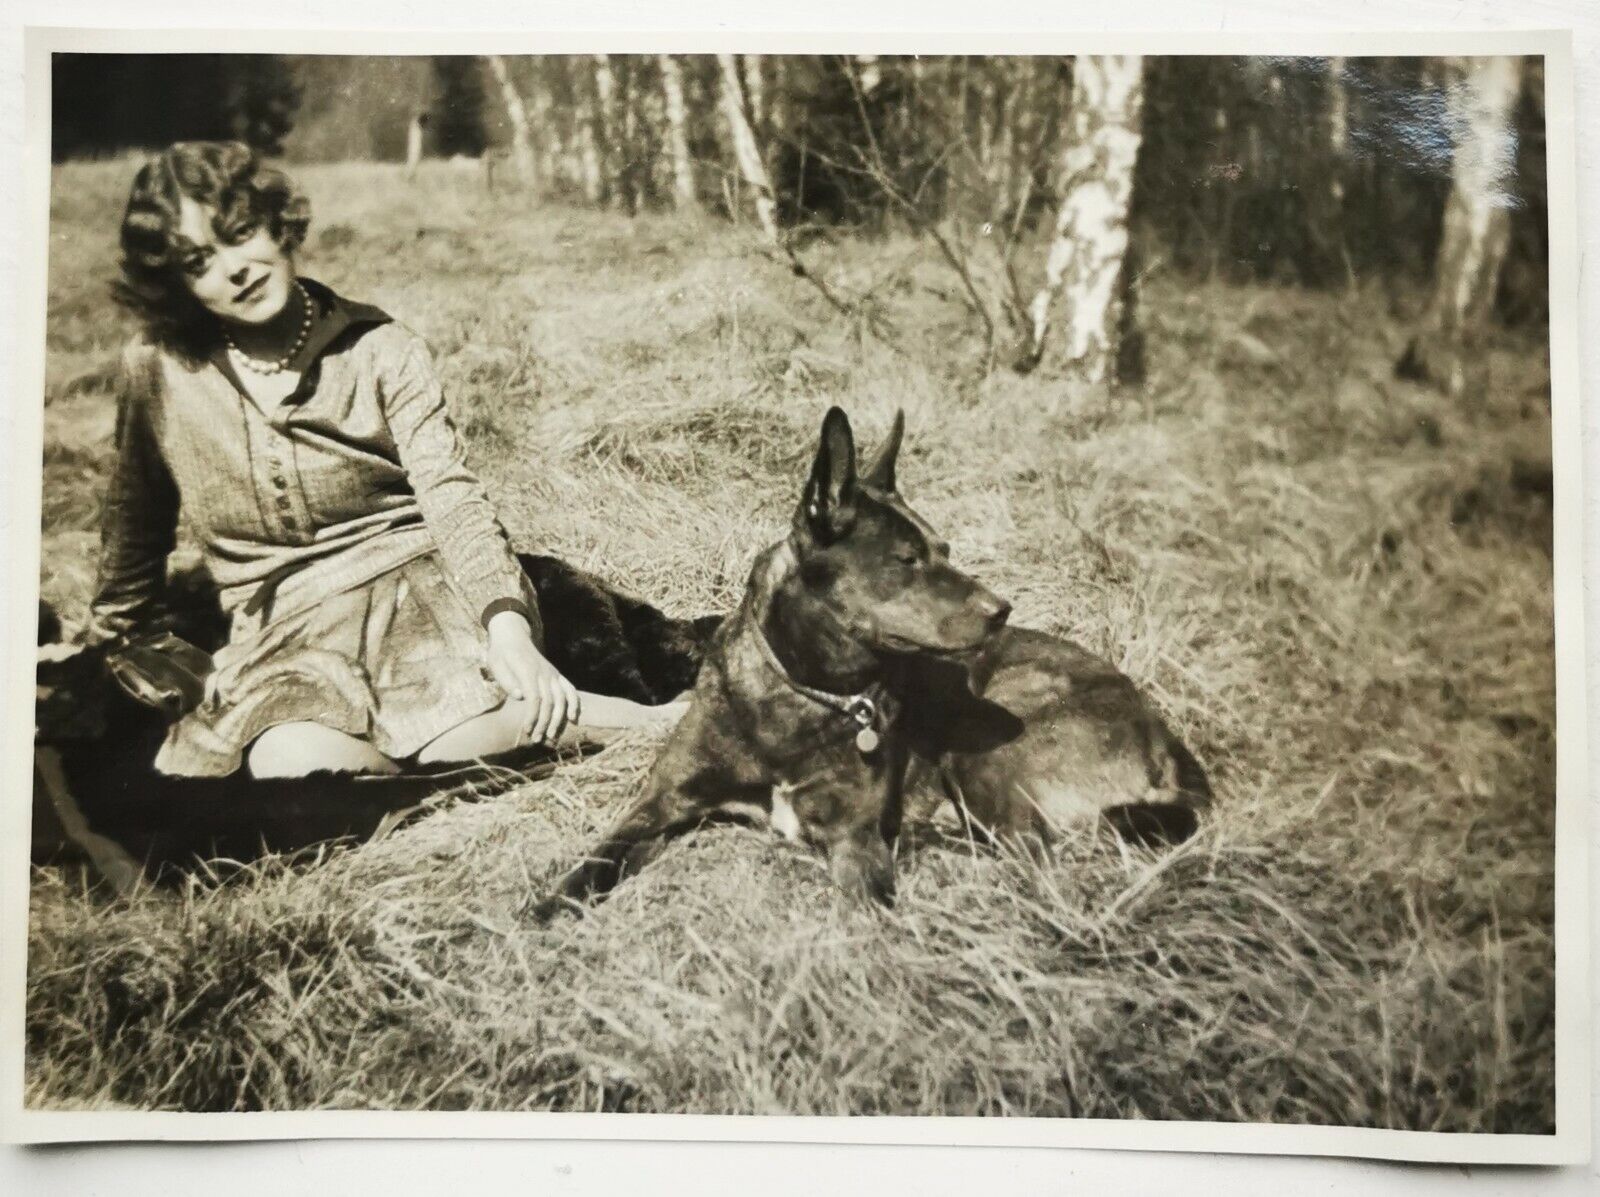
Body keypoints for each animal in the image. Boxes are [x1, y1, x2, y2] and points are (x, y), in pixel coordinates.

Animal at [544, 401, 1216, 908]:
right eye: (907, 559)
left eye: (945, 550)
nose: (1002, 610)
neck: (804, 692)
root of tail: (1164, 737)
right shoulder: (663, 802)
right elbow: (597, 858)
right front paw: (549, 909)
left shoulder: (854, 839)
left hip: (989, 745)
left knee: (1030, 852)